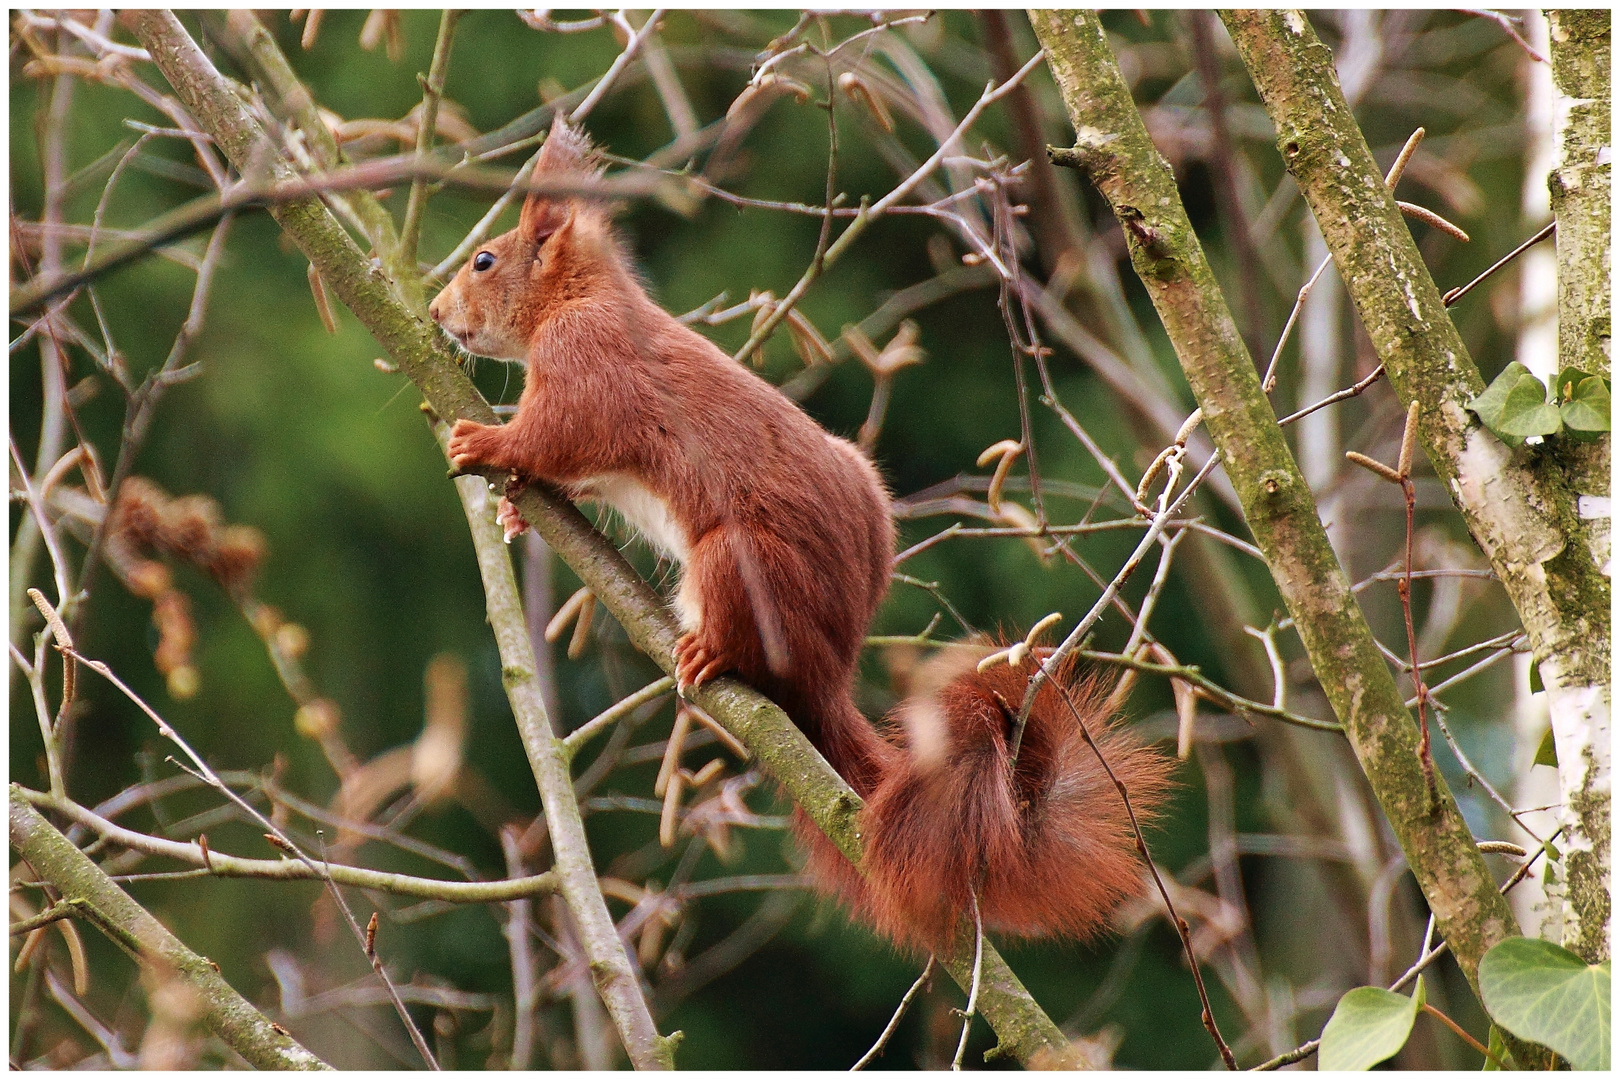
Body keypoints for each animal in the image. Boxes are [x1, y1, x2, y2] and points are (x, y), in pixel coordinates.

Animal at [427, 114, 1166, 952]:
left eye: (485, 260)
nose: (434, 314)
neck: (576, 299)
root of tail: (827, 673)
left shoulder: (589, 366)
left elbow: (555, 434)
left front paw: (485, 443)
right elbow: (570, 474)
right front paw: (514, 510)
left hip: (740, 565)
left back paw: (712, 653)